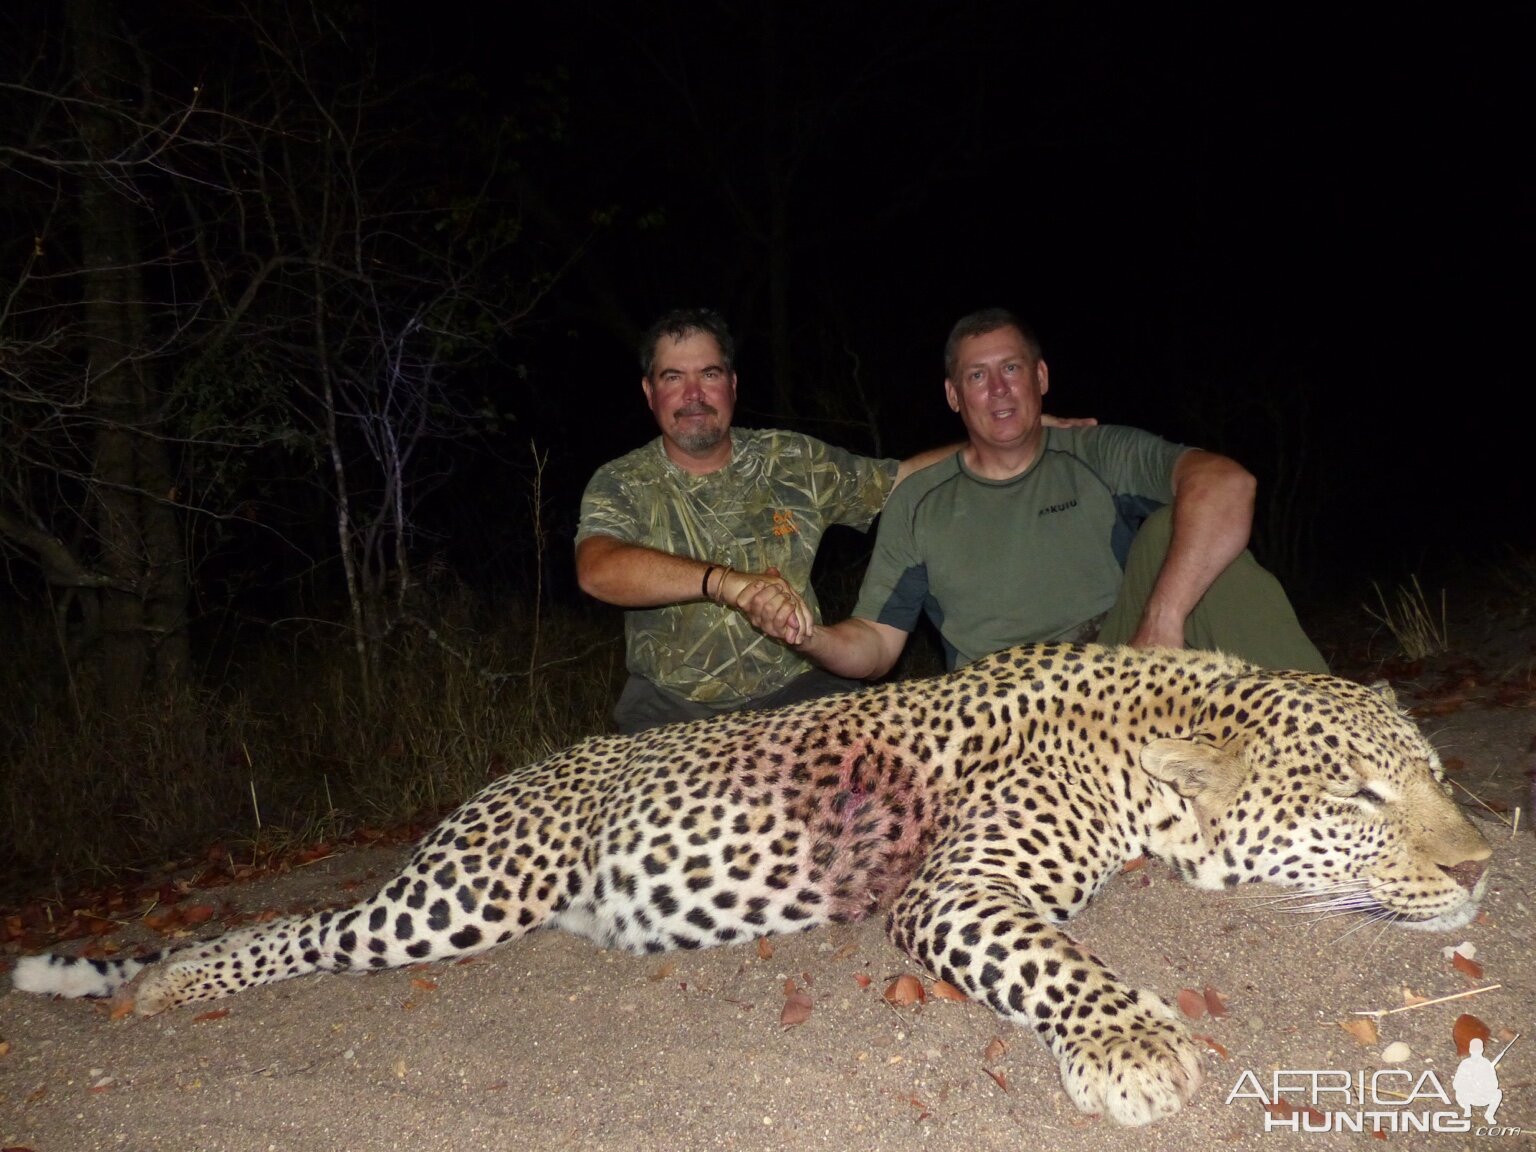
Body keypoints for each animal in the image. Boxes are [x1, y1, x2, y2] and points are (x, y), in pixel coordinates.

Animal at [9, 645, 1486, 1130]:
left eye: (1431, 775)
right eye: (1359, 797)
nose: (1481, 865)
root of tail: (510, 775)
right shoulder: (956, 891)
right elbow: (1057, 960)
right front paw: (1131, 1051)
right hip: (471, 889)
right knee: (307, 927)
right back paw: (166, 981)